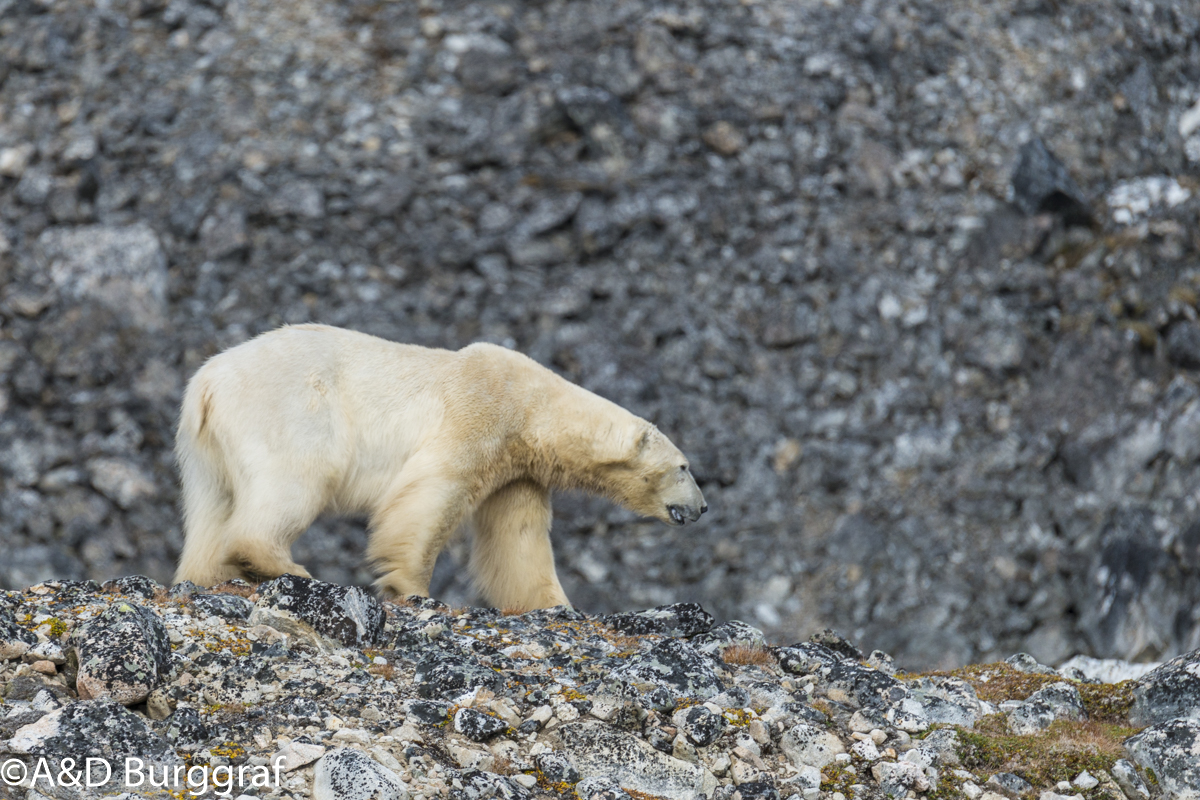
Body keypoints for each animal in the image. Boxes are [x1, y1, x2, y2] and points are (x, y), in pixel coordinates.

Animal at [174, 321, 705, 609]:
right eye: (684, 467)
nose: (702, 508)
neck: (533, 408)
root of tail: (206, 382)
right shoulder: (480, 414)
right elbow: (433, 493)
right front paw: (410, 586)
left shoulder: (517, 471)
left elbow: (518, 539)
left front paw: (556, 605)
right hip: (292, 408)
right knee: (296, 478)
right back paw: (282, 564)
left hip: (206, 452)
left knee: (212, 506)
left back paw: (206, 574)